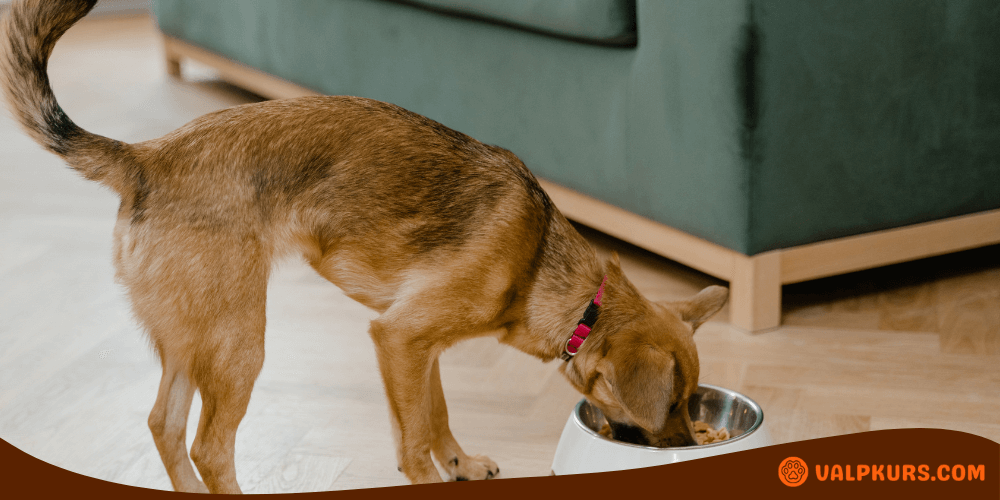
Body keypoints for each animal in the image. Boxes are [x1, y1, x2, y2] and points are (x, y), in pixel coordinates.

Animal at [1, 0, 728, 492]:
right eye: (670, 405)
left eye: (692, 403)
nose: (685, 444)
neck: (548, 272)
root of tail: (145, 157)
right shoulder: (400, 336)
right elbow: (412, 443)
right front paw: (433, 475)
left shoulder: (417, 346)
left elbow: (435, 414)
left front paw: (461, 461)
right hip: (238, 341)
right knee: (210, 446)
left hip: (192, 336)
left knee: (165, 425)